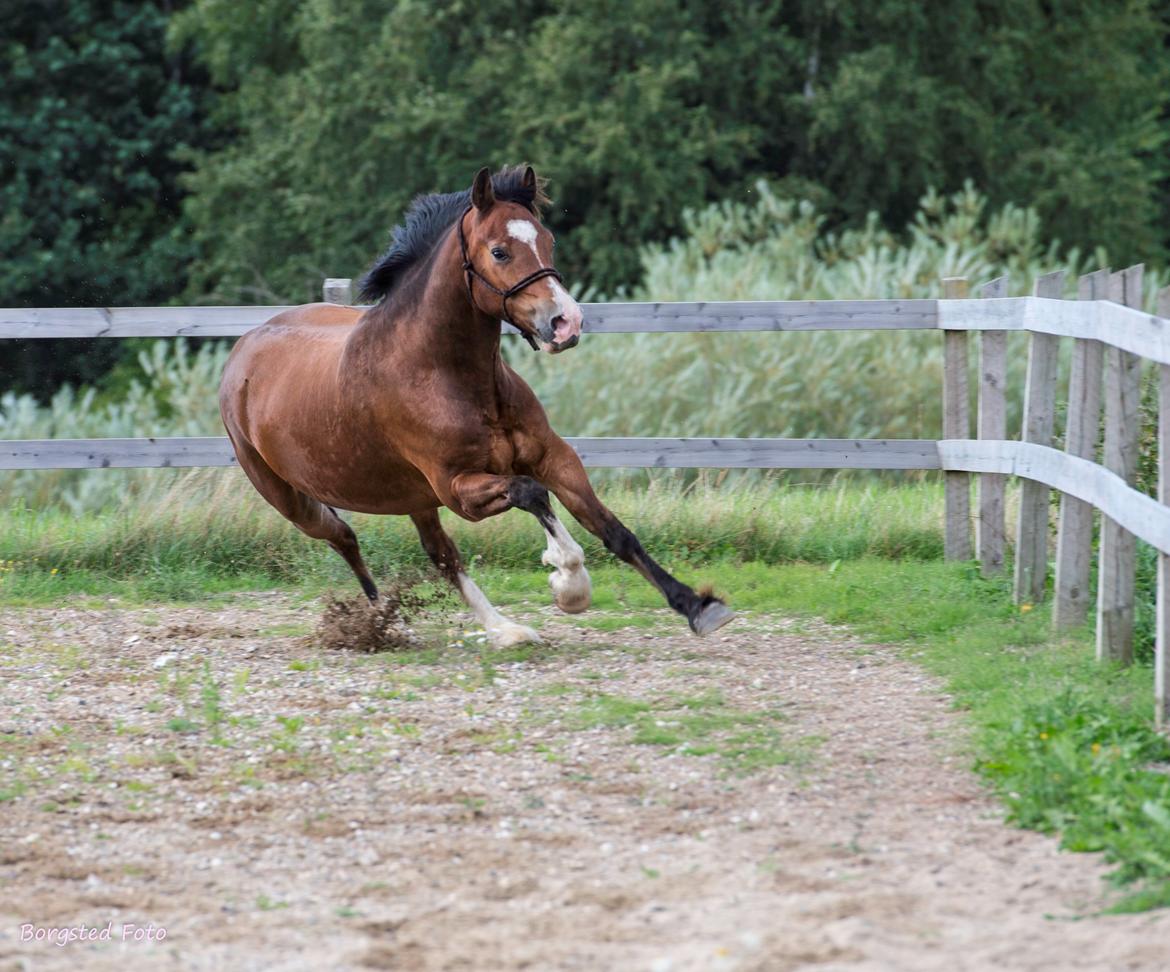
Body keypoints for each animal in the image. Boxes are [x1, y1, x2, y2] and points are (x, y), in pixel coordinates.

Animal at [218, 166, 730, 645]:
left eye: (547, 240)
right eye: (499, 251)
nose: (566, 323)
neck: (445, 374)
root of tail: (244, 347)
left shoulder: (552, 457)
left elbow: (614, 530)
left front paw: (698, 607)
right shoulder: (458, 489)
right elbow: (531, 493)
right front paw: (568, 582)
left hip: (412, 496)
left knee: (438, 553)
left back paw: (501, 629)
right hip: (292, 498)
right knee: (345, 538)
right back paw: (389, 623)